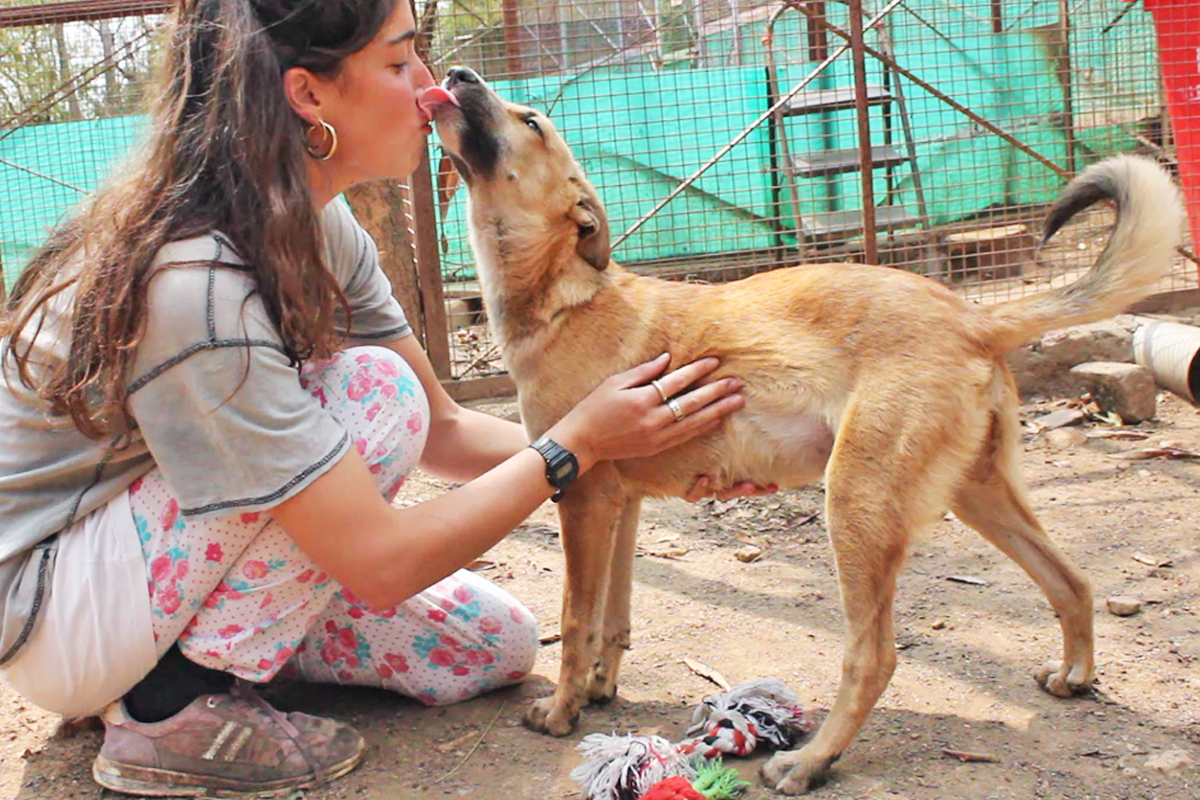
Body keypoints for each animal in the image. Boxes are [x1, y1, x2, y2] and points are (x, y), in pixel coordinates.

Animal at [429, 68, 1180, 796]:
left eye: (531, 120)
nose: (458, 71)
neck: (562, 296)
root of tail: (971, 315)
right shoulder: (623, 501)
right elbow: (614, 617)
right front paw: (599, 690)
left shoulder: (583, 498)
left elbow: (576, 620)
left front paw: (561, 712)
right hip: (978, 495)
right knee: (1071, 582)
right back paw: (1074, 675)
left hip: (856, 504)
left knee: (874, 657)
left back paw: (810, 761)